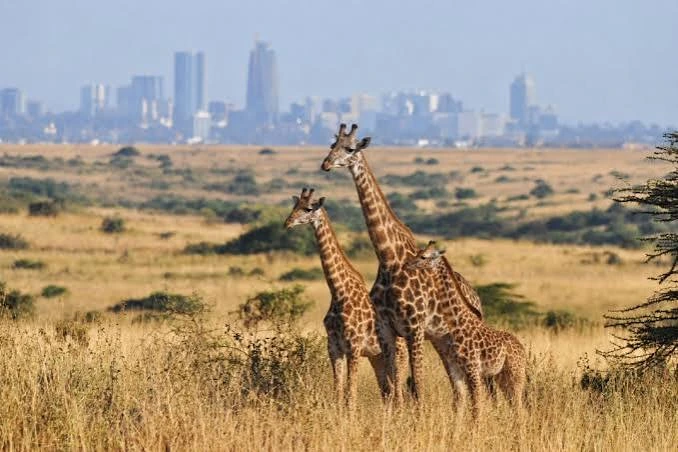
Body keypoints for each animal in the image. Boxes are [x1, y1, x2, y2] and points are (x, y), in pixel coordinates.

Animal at [284, 187, 395, 410]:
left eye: (308, 208)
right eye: (294, 206)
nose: (287, 223)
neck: (338, 291)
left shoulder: (354, 347)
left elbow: (350, 396)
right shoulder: (334, 347)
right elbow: (338, 395)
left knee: (397, 391)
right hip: (377, 357)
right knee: (387, 392)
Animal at [320, 123, 485, 400]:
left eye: (350, 148)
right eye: (332, 145)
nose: (326, 164)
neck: (389, 258)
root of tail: (475, 295)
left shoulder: (414, 327)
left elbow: (416, 384)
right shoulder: (388, 329)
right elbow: (395, 384)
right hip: (441, 340)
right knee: (457, 386)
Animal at [400, 241, 527, 417]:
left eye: (423, 256)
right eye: (418, 252)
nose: (406, 264)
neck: (456, 324)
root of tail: (522, 350)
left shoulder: (473, 369)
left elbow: (476, 408)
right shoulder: (456, 368)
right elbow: (458, 404)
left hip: (515, 374)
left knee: (519, 408)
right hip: (502, 376)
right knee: (514, 407)